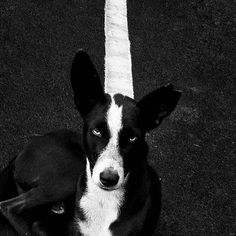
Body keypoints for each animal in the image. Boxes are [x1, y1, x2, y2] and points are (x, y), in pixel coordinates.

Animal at [0, 49, 182, 234]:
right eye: (97, 131)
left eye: (132, 137)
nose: (108, 179)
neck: (105, 200)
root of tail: (29, 145)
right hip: (70, 173)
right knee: (9, 207)